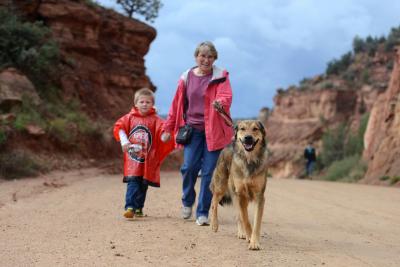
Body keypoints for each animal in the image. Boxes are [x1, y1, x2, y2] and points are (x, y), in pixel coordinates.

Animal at [209, 120, 268, 250]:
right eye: (242, 129)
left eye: (255, 129)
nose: (248, 138)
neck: (249, 160)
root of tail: (227, 146)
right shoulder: (241, 194)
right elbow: (245, 219)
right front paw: (250, 236)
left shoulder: (259, 196)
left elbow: (256, 222)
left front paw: (254, 242)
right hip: (221, 186)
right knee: (214, 202)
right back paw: (214, 225)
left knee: (238, 215)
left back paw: (241, 233)